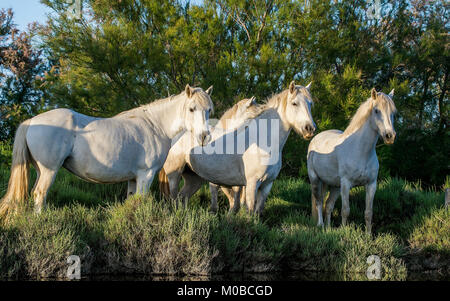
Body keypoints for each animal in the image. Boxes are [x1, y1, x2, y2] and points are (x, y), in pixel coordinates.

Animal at [0, 83, 214, 217]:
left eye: (209, 110)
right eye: (192, 108)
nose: (204, 136)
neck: (155, 125)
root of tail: (32, 121)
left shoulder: (133, 178)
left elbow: (131, 201)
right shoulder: (146, 175)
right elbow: (141, 201)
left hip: (40, 170)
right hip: (49, 171)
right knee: (40, 194)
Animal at [160, 81, 314, 214]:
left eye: (310, 103)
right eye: (294, 103)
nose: (310, 128)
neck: (263, 142)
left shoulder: (267, 185)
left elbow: (257, 211)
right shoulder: (251, 184)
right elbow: (248, 210)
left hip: (194, 179)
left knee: (182, 198)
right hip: (174, 175)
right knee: (174, 198)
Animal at [308, 87, 396, 232]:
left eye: (393, 113)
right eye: (376, 110)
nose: (390, 136)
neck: (360, 151)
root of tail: (317, 137)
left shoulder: (371, 185)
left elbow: (368, 213)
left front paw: (368, 235)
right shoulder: (346, 183)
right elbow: (345, 210)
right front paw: (344, 232)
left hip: (334, 185)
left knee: (329, 204)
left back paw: (328, 228)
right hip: (316, 179)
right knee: (319, 202)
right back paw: (321, 225)